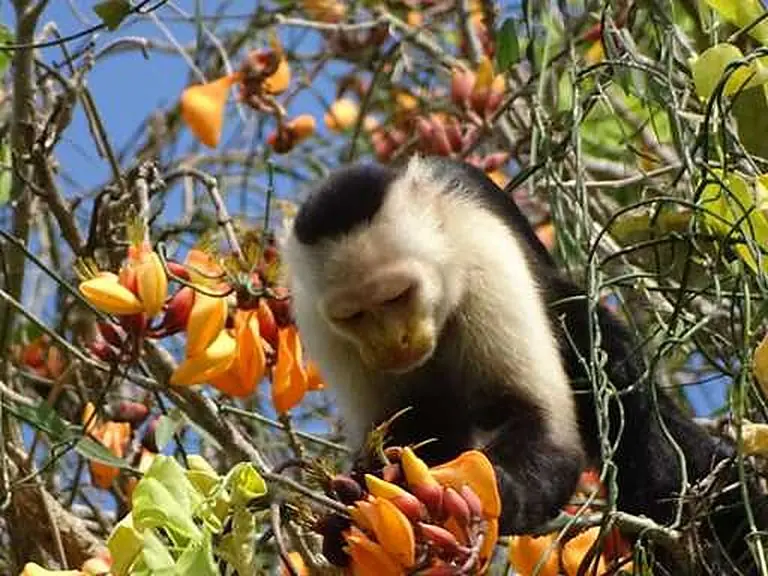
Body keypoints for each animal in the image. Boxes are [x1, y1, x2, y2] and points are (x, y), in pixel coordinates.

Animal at [281, 154, 764, 573]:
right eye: (354, 316)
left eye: (397, 295)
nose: (392, 344)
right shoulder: (318, 322)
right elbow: (402, 432)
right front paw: (353, 507)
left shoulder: (483, 254)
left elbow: (544, 428)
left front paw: (487, 489)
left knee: (609, 368)